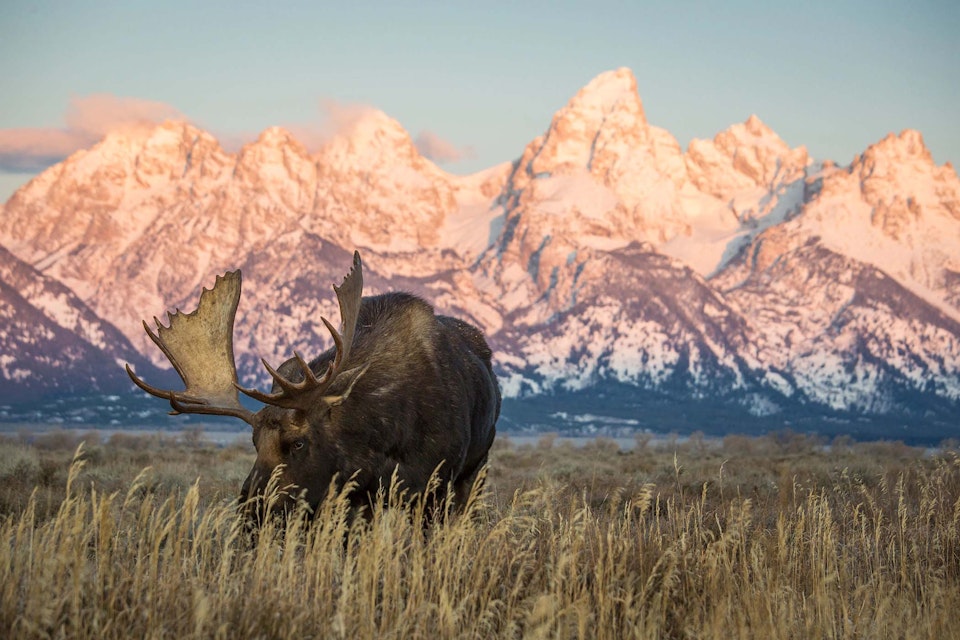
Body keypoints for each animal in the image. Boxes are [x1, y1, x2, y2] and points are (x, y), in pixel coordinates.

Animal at [125, 251, 502, 524]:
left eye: (298, 442)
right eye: (254, 442)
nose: (252, 509)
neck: (384, 436)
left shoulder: (432, 487)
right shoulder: (354, 497)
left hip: (476, 470)